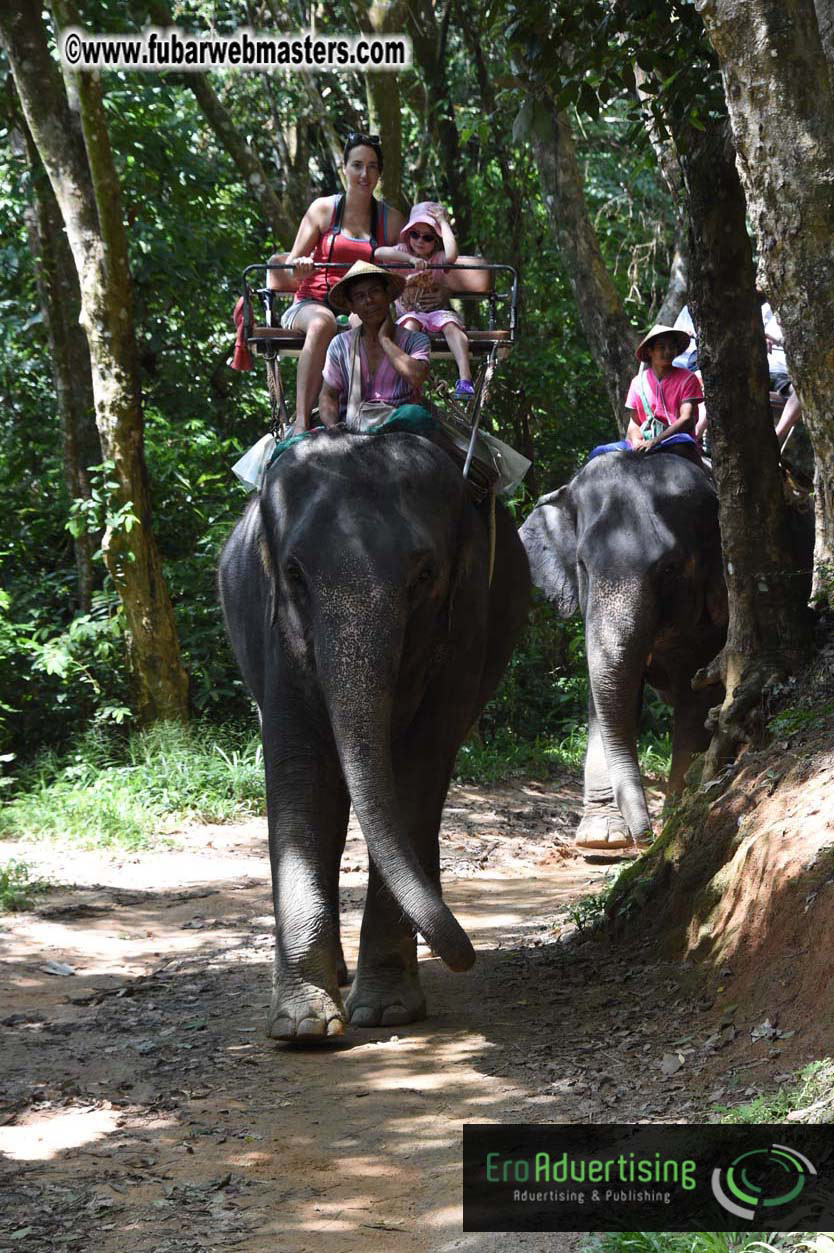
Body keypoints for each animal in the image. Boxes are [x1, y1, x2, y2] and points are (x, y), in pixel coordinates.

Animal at [219, 427, 530, 1040]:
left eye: (424, 575)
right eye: (294, 573)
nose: (465, 956)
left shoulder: (467, 628)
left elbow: (419, 769)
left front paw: (387, 1011)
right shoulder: (277, 632)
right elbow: (301, 775)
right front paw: (304, 1026)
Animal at [520, 449, 728, 853]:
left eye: (669, 569)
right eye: (582, 565)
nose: (644, 839)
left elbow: (696, 698)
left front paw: (676, 819)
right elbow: (607, 697)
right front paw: (601, 841)